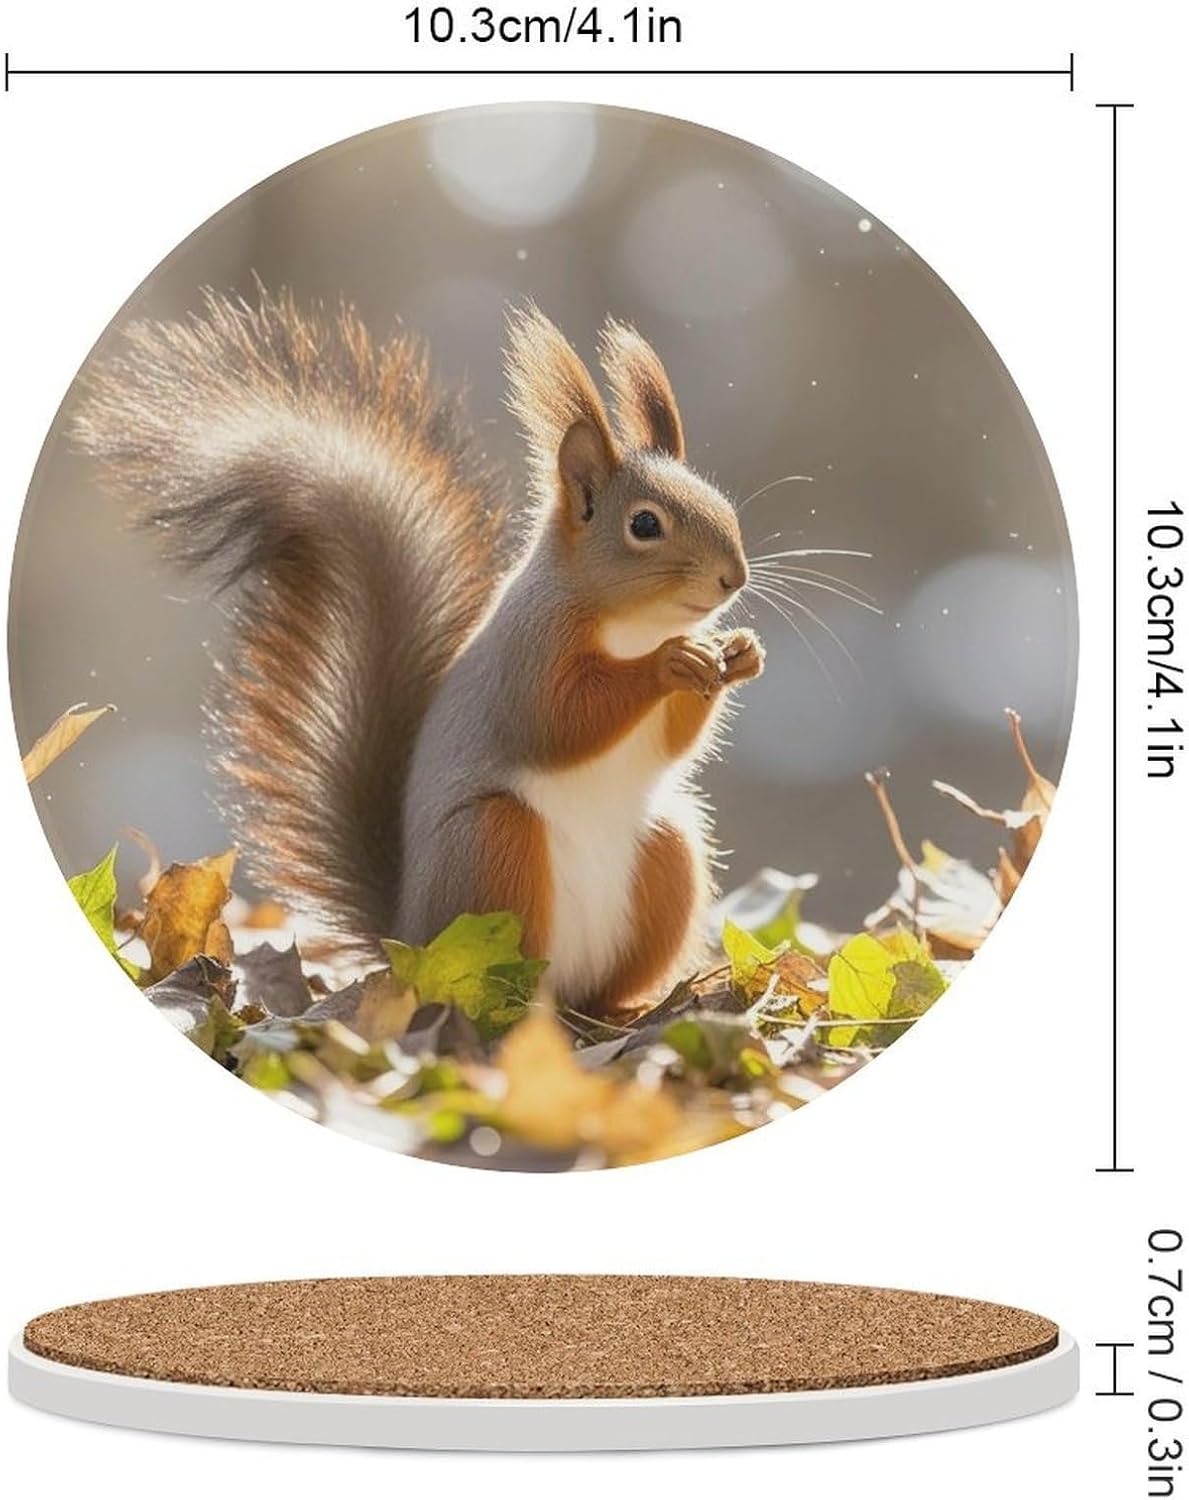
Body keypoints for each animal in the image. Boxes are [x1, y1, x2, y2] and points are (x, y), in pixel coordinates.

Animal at [74, 289, 764, 1017]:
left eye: (721, 503)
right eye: (644, 524)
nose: (734, 578)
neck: (633, 626)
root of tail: (406, 938)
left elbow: (670, 743)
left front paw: (737, 655)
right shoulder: (528, 651)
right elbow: (559, 722)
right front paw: (671, 664)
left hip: (667, 852)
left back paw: (624, 1006)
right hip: (490, 846)